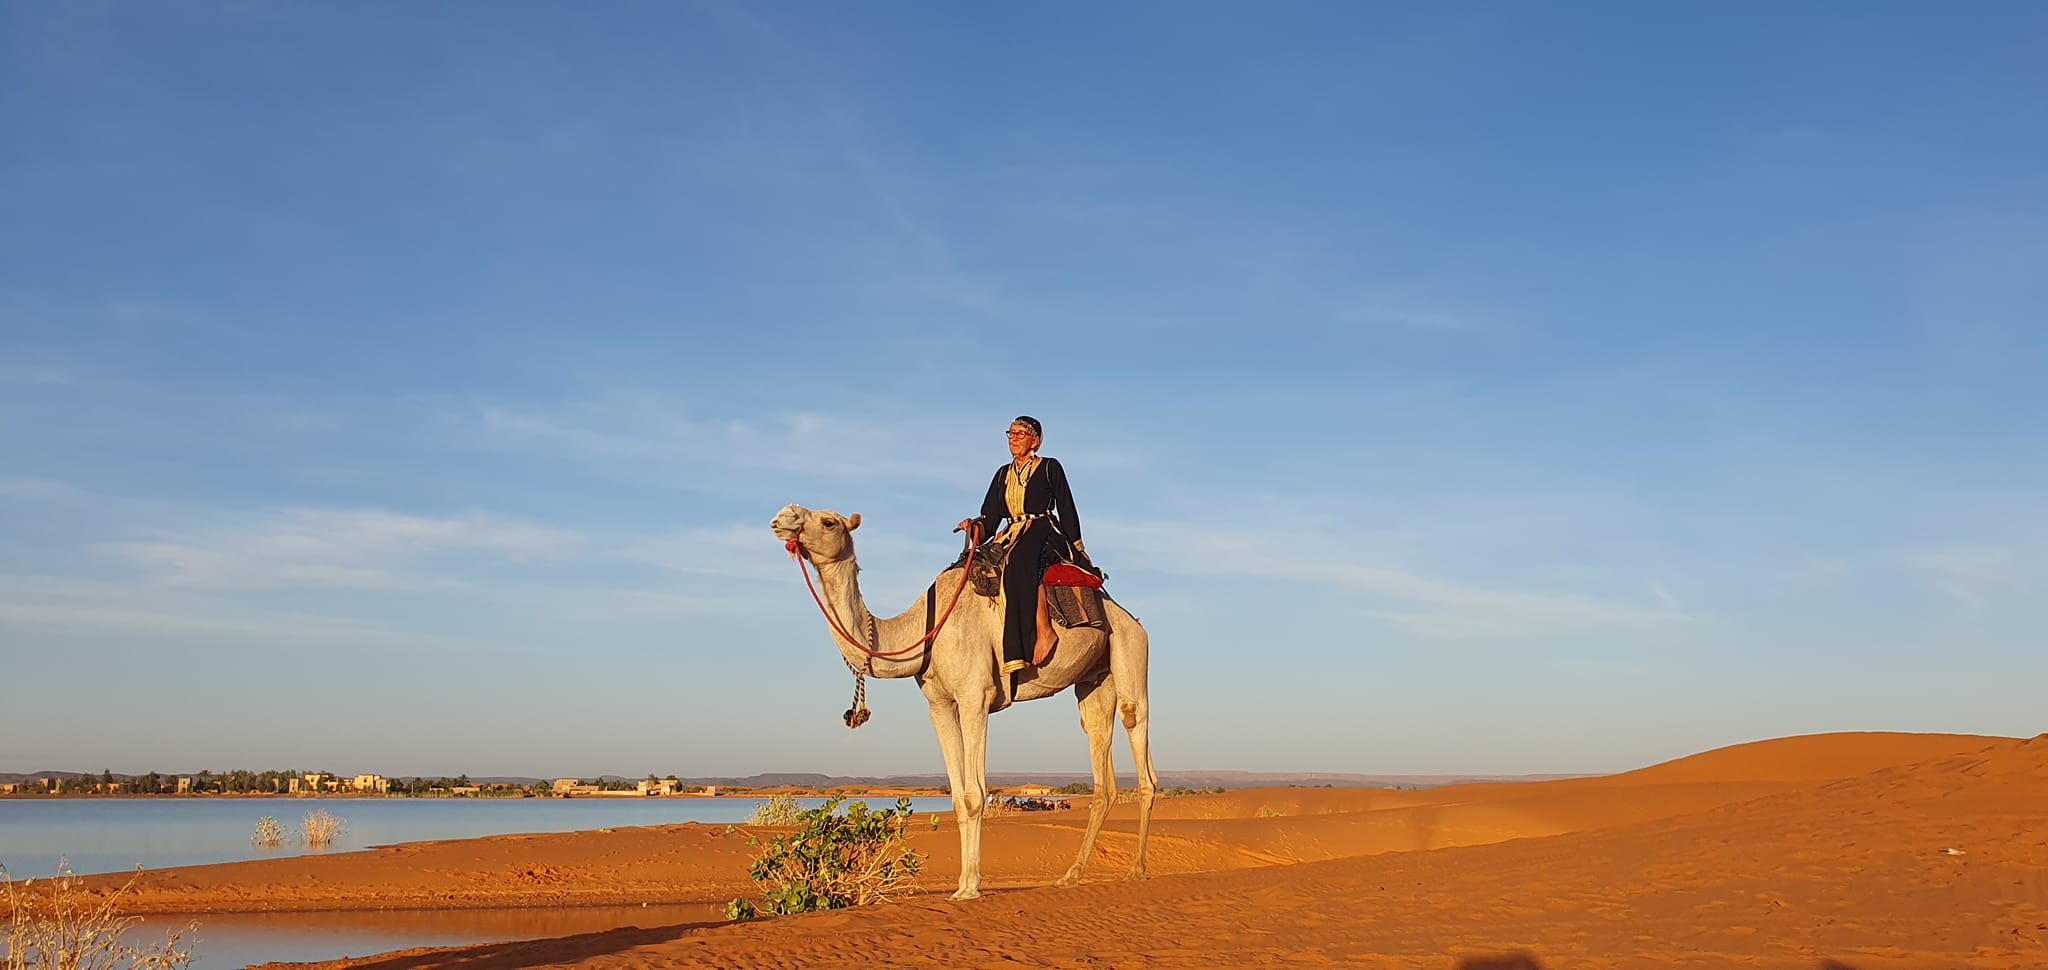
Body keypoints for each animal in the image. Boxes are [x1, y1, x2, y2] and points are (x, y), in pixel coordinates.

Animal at [770, 504, 1157, 899]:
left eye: (828, 521)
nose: (781, 518)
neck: (927, 628)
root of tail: (1130, 617)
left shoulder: (975, 696)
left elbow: (974, 794)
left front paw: (970, 887)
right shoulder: (939, 704)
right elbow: (957, 797)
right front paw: (962, 882)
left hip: (1130, 648)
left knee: (1137, 733)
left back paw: (1137, 869)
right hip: (1094, 679)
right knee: (1099, 759)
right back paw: (1072, 875)